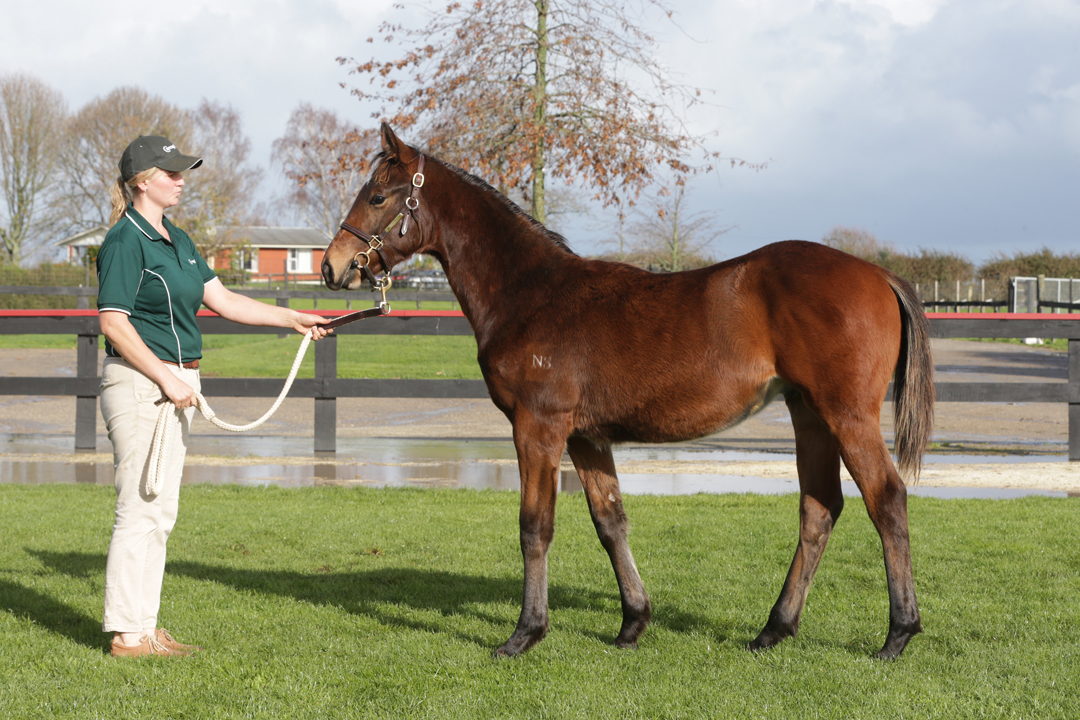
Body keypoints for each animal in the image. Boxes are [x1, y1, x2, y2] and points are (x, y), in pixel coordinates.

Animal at [322, 124, 934, 660]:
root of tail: (878, 275)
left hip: (846, 414)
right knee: (819, 508)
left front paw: (525, 634)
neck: (532, 295)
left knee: (886, 498)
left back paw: (897, 634)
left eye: (378, 196)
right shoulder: (587, 438)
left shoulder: (538, 428)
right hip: (808, 413)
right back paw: (774, 629)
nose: (332, 267)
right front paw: (632, 623)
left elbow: (535, 527)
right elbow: (610, 522)